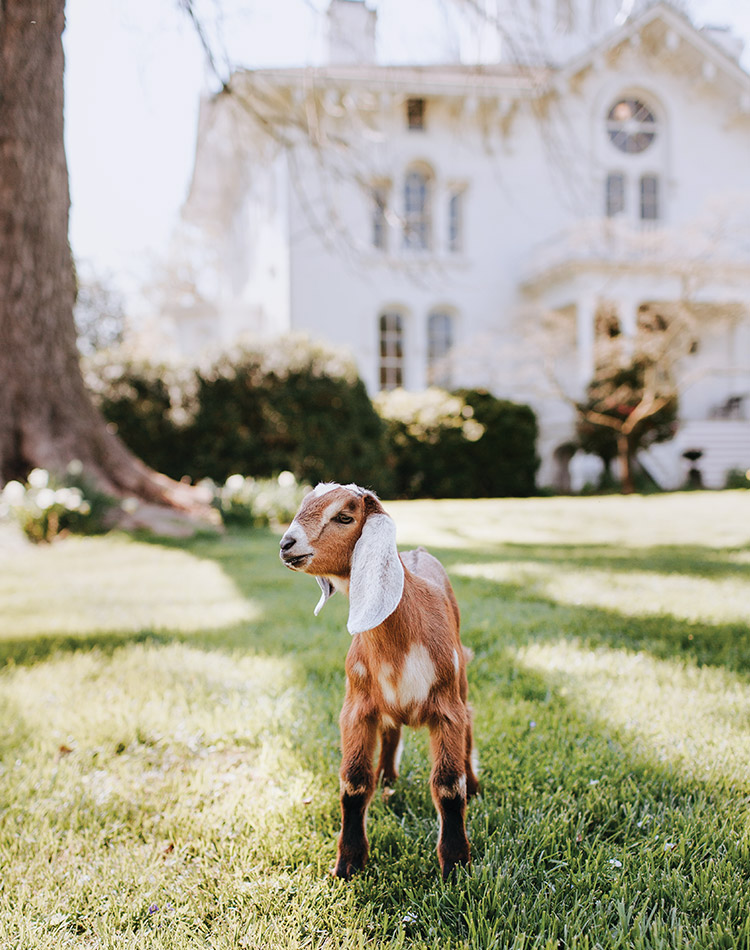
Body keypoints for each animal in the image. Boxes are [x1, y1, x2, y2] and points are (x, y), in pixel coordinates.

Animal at [279, 482, 479, 881]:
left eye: (344, 516)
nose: (286, 543)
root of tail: (418, 552)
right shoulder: (357, 708)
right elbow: (354, 783)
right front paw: (348, 864)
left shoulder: (446, 708)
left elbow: (449, 786)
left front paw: (455, 866)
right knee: (391, 731)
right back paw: (387, 778)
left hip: (461, 682)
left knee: (469, 724)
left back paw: (475, 784)